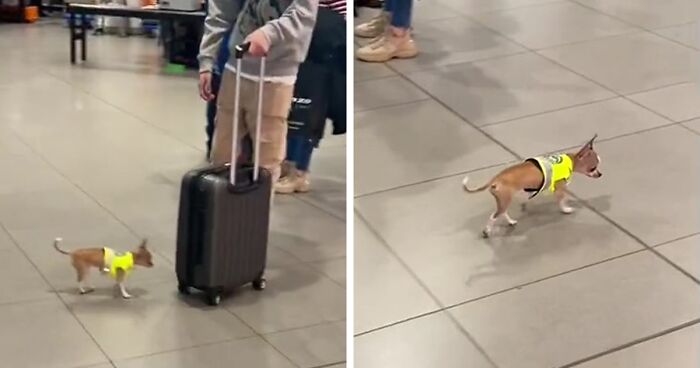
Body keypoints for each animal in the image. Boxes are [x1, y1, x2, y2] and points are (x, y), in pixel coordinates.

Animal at [464, 134, 600, 237]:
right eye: (593, 168)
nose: (600, 174)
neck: (571, 160)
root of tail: (495, 178)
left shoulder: (532, 188)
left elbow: (528, 196)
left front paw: (525, 203)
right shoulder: (560, 188)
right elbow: (562, 200)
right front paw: (566, 209)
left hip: (503, 201)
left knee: (502, 212)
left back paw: (511, 221)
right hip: (504, 200)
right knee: (494, 216)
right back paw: (487, 231)